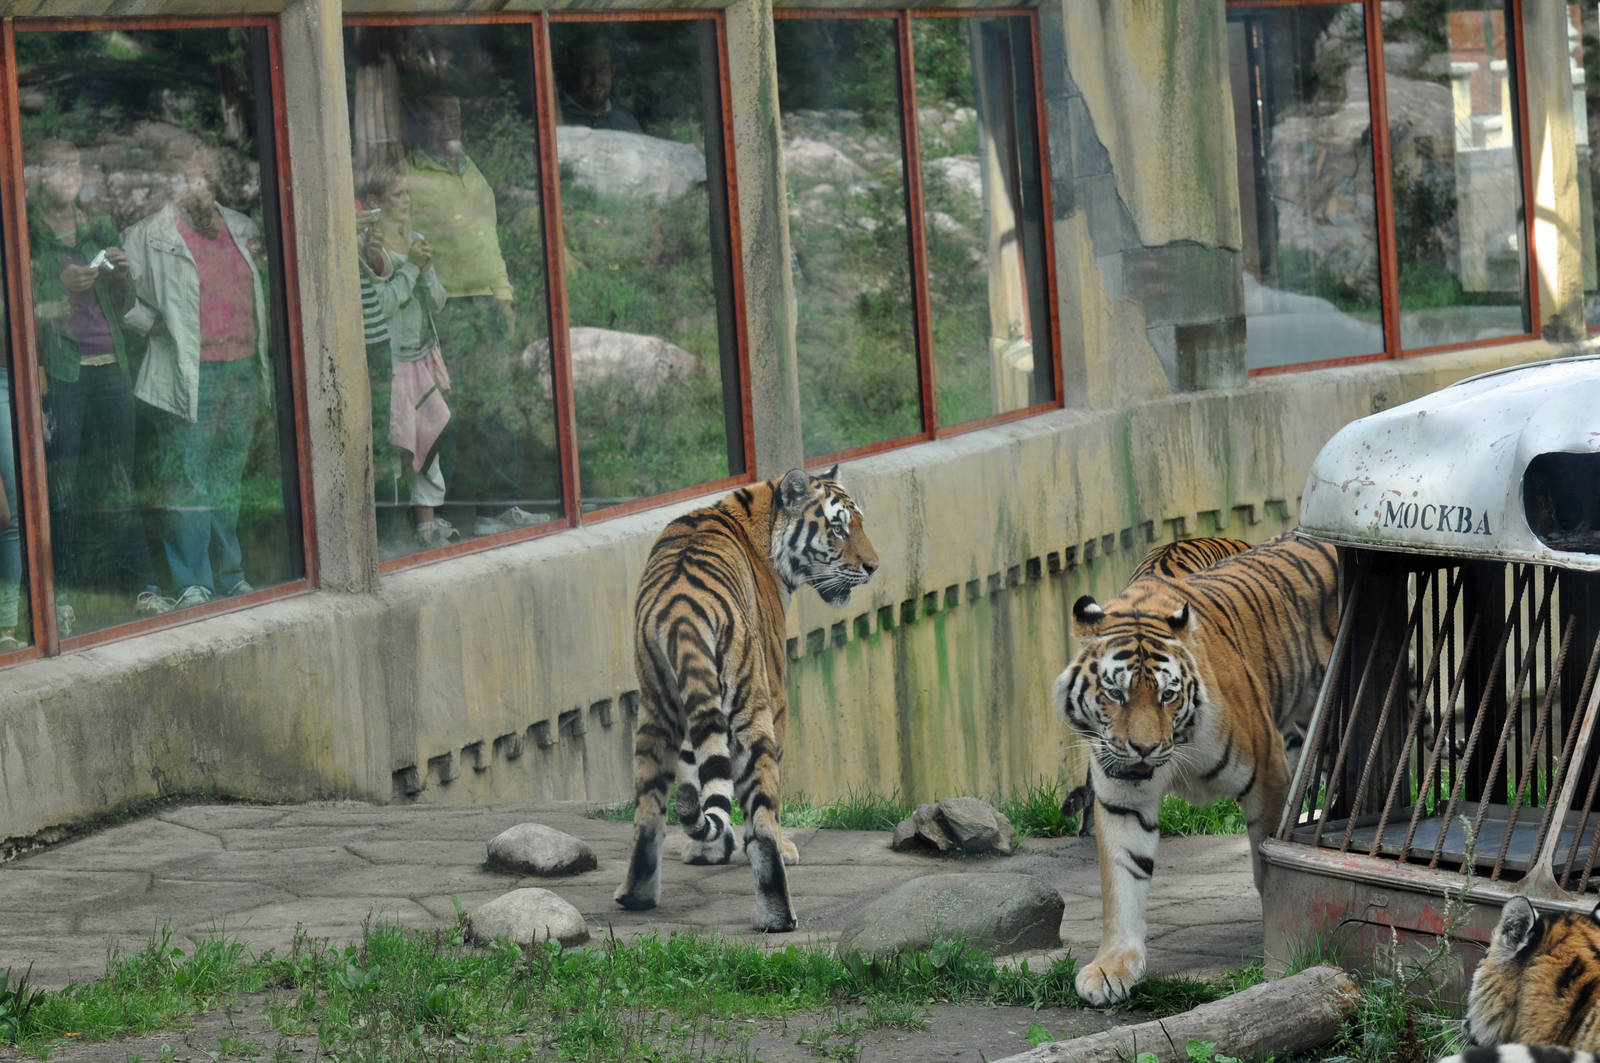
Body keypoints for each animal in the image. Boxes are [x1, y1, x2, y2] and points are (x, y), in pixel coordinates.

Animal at [615, 466, 879, 932]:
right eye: (838, 528)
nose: (873, 567)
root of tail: (682, 611)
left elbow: (701, 775)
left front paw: (707, 851)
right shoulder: (776, 692)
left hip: (656, 709)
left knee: (649, 813)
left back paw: (636, 896)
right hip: (752, 710)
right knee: (761, 824)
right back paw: (779, 915)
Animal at [1052, 529, 1337, 1006]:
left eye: (1167, 695)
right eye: (1115, 693)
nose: (1145, 748)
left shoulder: (1267, 777)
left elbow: (1268, 870)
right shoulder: (1122, 796)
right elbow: (1123, 879)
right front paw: (1112, 968)